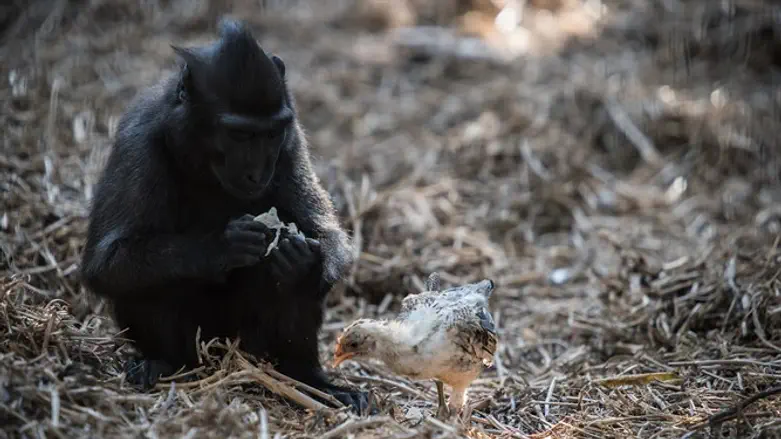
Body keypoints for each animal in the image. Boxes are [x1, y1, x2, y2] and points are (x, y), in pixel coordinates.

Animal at [79, 19, 368, 413]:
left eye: (271, 133)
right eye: (240, 134)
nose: (258, 174)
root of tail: (224, 353)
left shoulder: (291, 142)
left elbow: (325, 234)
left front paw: (302, 257)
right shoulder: (138, 143)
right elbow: (106, 262)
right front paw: (224, 245)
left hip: (250, 341)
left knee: (290, 283)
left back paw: (305, 377)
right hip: (204, 343)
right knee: (149, 285)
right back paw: (165, 362)